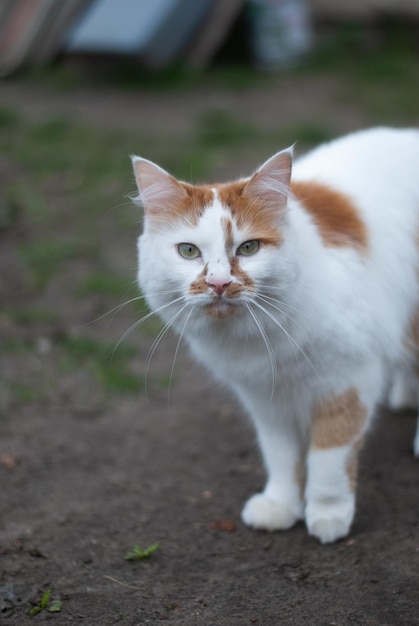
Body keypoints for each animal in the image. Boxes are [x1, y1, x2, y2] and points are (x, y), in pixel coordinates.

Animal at [131, 128, 419, 540]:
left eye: (249, 248)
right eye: (188, 251)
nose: (219, 283)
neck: (260, 338)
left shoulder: (348, 382)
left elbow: (328, 459)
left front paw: (328, 514)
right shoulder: (266, 398)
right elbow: (281, 457)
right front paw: (280, 507)